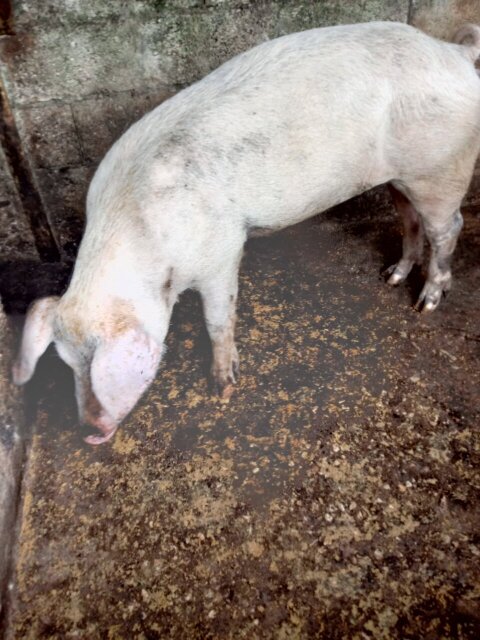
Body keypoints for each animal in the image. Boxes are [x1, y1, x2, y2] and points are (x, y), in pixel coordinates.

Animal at [13, 21, 480, 444]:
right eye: (67, 362)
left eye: (97, 361)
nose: (88, 432)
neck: (148, 243)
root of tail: (456, 54)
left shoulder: (221, 251)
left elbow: (219, 318)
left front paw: (223, 386)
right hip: (403, 177)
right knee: (410, 219)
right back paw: (392, 277)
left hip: (442, 169)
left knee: (448, 228)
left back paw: (427, 303)